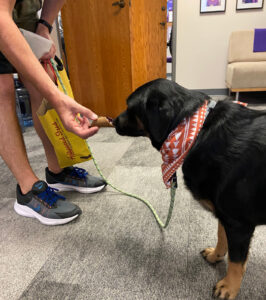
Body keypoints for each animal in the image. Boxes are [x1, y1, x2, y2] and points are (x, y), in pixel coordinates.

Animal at [113, 78, 266, 298]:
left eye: (130, 107)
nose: (113, 121)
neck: (195, 131)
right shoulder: (224, 215)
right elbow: (221, 236)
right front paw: (216, 255)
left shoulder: (239, 223)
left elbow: (237, 261)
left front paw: (229, 287)